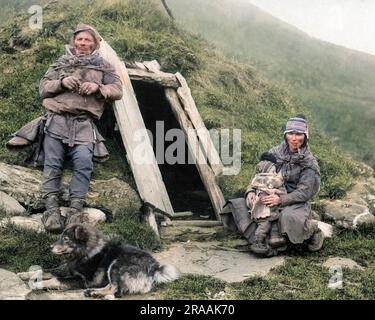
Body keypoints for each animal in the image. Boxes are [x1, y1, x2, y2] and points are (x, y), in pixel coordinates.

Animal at [18, 224, 180, 298]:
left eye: (66, 238)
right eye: (60, 237)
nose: (50, 247)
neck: (84, 253)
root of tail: (155, 268)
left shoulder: (82, 280)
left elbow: (55, 279)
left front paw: (37, 284)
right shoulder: (66, 269)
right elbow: (44, 270)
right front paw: (23, 274)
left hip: (116, 264)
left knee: (115, 289)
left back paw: (93, 292)